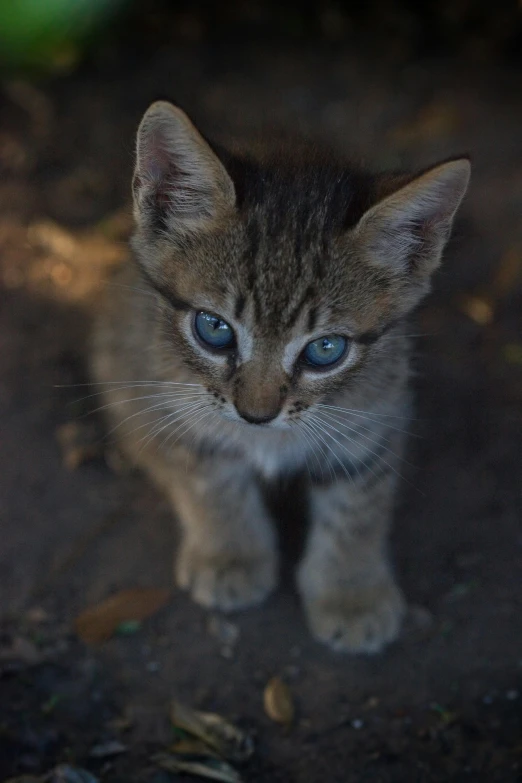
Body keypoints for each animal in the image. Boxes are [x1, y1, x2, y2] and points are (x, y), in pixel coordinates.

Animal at [89, 104, 468, 656]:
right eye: (214, 329)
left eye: (325, 350)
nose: (256, 414)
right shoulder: (171, 398)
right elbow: (211, 480)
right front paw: (230, 555)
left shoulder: (376, 412)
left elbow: (358, 505)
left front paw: (350, 592)